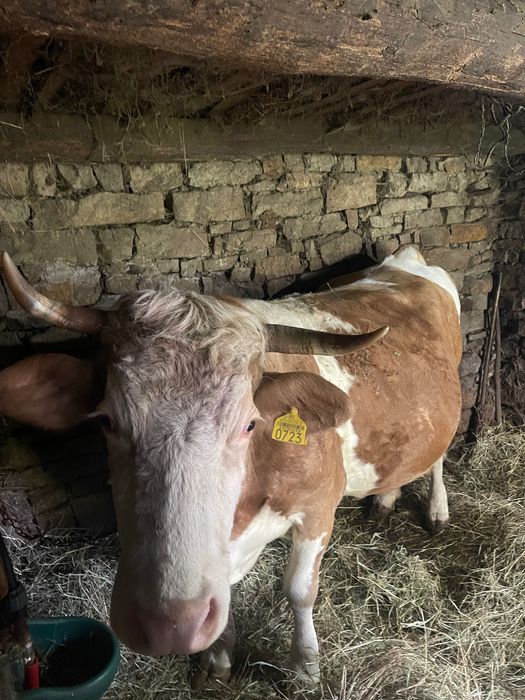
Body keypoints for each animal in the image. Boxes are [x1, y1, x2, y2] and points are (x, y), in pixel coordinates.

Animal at [0, 246, 462, 685]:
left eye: (250, 423)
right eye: (107, 421)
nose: (169, 625)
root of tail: (404, 260)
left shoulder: (318, 509)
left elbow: (300, 591)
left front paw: (305, 668)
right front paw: (218, 659)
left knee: (439, 455)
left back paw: (437, 510)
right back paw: (385, 497)